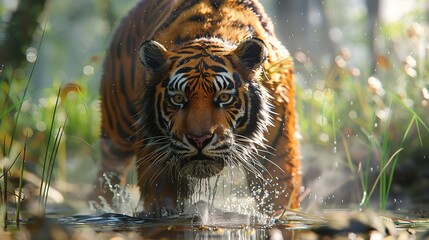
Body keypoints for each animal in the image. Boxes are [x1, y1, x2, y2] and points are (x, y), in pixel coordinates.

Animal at [91, 0, 300, 218]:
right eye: (178, 99)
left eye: (224, 97)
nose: (199, 139)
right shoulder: (157, 153)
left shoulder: (276, 160)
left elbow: (278, 199)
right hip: (117, 128)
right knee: (108, 170)